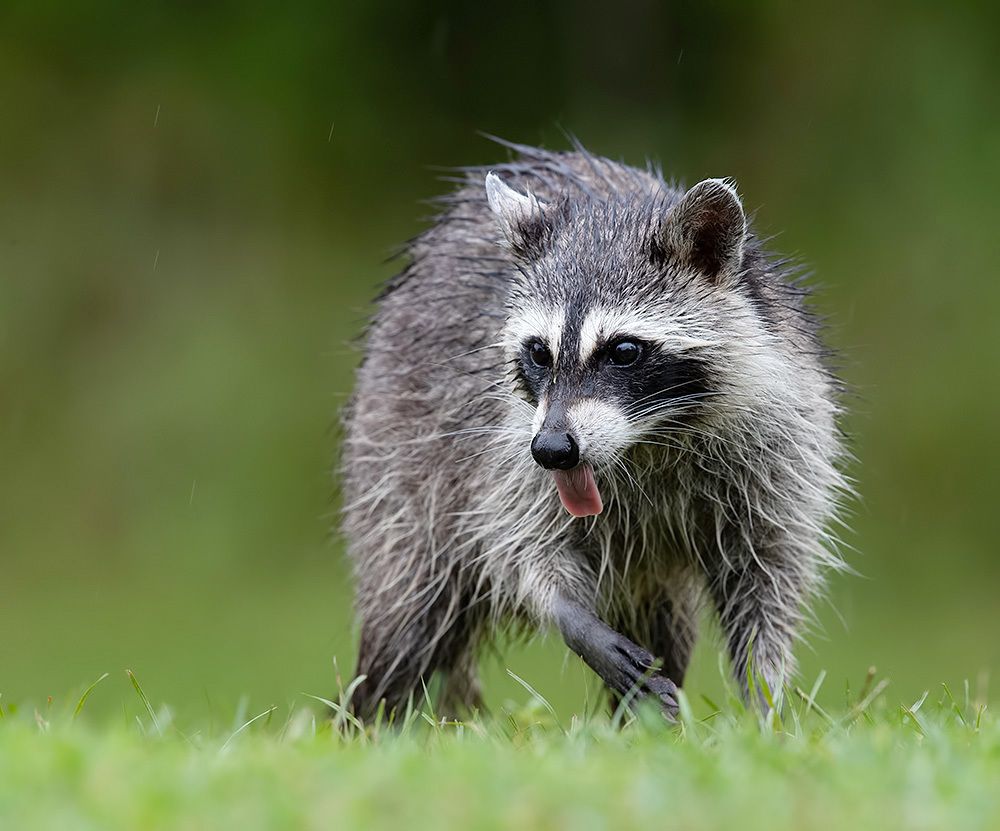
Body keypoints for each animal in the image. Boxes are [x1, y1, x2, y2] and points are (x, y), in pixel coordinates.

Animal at [341, 139, 848, 719]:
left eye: (623, 351)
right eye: (539, 352)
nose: (553, 450)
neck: (653, 436)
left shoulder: (781, 441)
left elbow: (770, 575)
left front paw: (766, 704)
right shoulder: (504, 444)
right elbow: (516, 547)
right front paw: (572, 616)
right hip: (395, 450)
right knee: (406, 614)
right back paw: (367, 715)